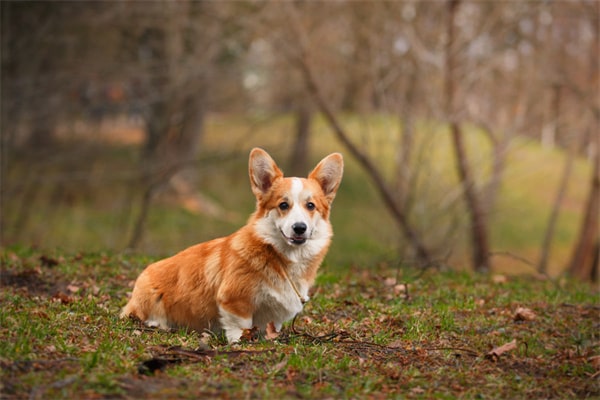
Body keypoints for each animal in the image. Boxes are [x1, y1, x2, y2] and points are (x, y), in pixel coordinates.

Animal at [120, 148, 344, 342]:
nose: (299, 228)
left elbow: (269, 326)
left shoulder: (274, 314)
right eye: (283, 205)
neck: (281, 257)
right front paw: (241, 341)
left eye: (310, 206)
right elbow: (240, 325)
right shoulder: (234, 300)